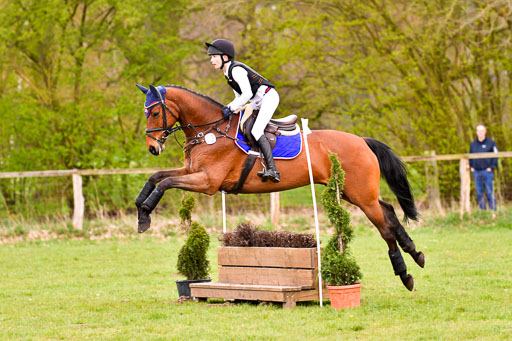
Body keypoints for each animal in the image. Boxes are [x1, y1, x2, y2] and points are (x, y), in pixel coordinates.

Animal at [135, 84, 424, 290]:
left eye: (156, 112)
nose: (152, 148)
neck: (211, 131)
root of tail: (362, 141)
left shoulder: (207, 181)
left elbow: (165, 183)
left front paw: (147, 212)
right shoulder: (191, 172)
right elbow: (156, 177)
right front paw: (141, 213)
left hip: (361, 196)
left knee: (384, 227)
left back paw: (404, 274)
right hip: (354, 193)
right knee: (389, 212)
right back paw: (415, 253)